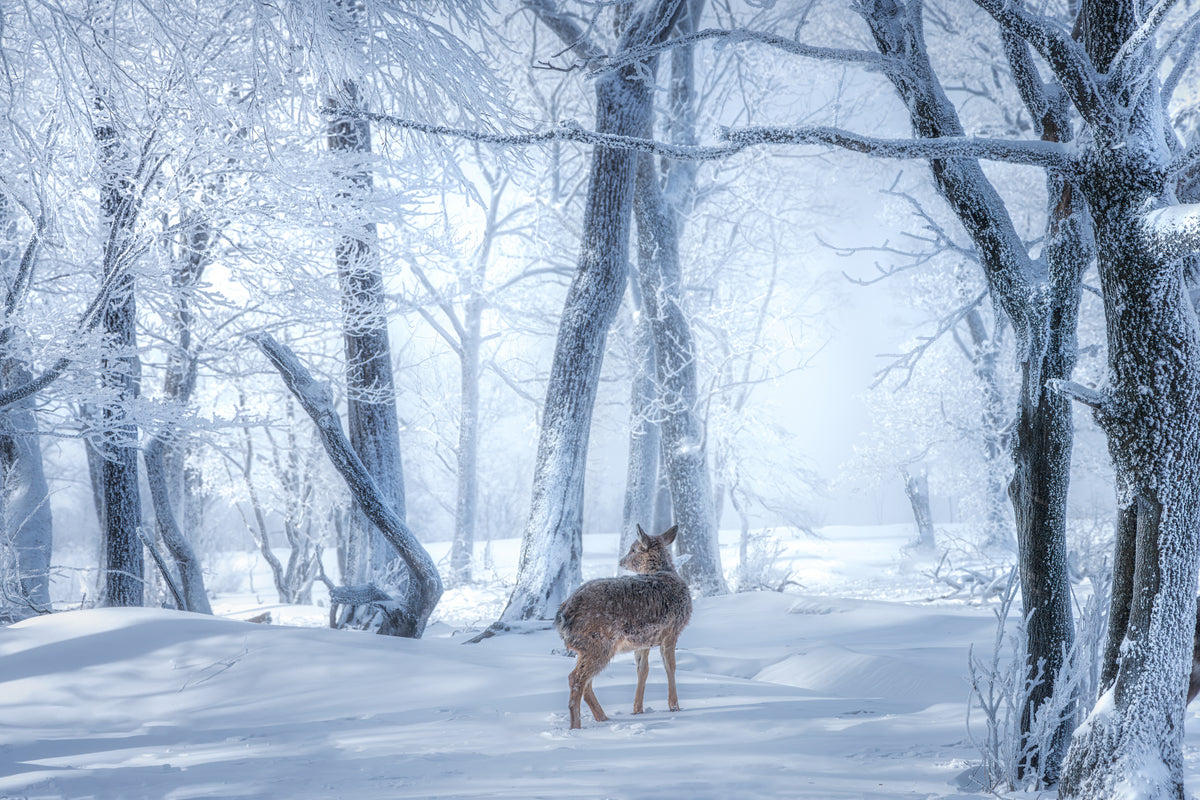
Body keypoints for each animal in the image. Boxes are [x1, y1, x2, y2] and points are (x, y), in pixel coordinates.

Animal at [554, 524, 693, 730]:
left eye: (632, 549)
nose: (621, 561)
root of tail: (562, 616)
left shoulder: (643, 641)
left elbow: (643, 670)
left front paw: (637, 709)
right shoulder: (672, 631)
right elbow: (671, 667)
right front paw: (674, 706)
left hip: (587, 647)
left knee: (585, 681)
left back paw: (603, 718)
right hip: (598, 643)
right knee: (576, 679)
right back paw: (576, 726)